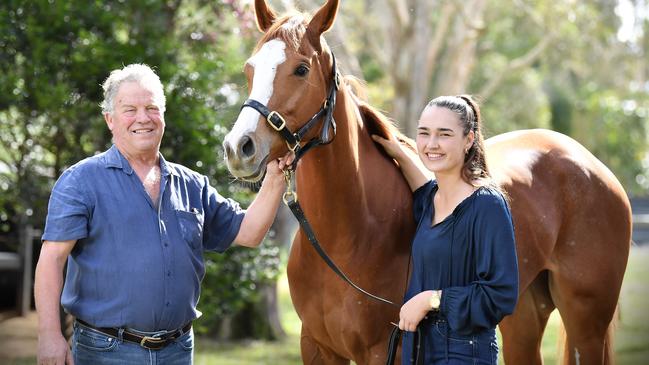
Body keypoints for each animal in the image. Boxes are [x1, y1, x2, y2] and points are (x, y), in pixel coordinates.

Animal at [221, 1, 628, 362]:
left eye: (301, 69)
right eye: (249, 69)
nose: (238, 147)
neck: (352, 233)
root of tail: (590, 164)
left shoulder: (385, 348)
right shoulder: (318, 348)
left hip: (586, 320)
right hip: (523, 314)